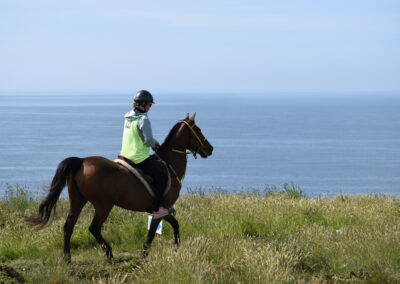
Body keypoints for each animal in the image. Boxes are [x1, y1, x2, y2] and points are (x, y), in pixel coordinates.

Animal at [26, 112, 214, 262]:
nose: (210, 149)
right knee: (94, 228)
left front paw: (176, 246)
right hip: (103, 205)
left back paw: (67, 257)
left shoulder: (164, 209)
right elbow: (153, 231)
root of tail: (81, 161)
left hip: (78, 200)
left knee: (68, 226)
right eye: (198, 130)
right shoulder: (161, 208)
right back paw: (108, 253)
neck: (169, 163)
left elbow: (175, 224)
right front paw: (145, 253)